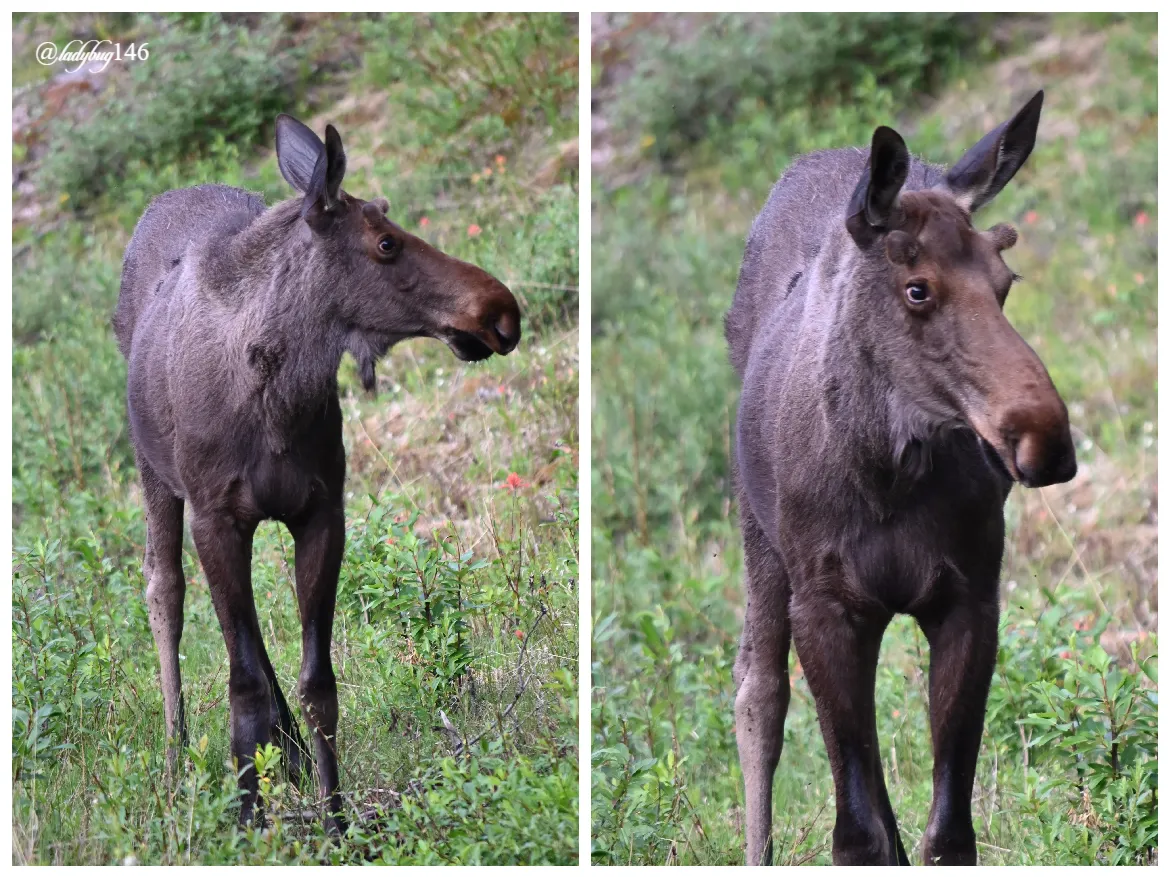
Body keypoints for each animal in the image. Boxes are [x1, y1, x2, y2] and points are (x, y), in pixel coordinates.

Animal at [115, 115, 521, 832]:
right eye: (386, 242)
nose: (500, 310)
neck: (279, 398)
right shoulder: (215, 515)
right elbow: (242, 681)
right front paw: (249, 819)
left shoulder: (321, 511)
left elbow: (317, 681)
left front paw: (334, 817)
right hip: (154, 476)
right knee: (165, 592)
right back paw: (175, 755)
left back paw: (289, 757)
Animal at [725, 92, 1071, 869]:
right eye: (918, 289)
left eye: (1005, 286)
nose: (1048, 441)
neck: (885, 473)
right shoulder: (825, 604)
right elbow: (858, 834)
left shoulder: (970, 597)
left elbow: (946, 833)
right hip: (758, 537)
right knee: (758, 693)